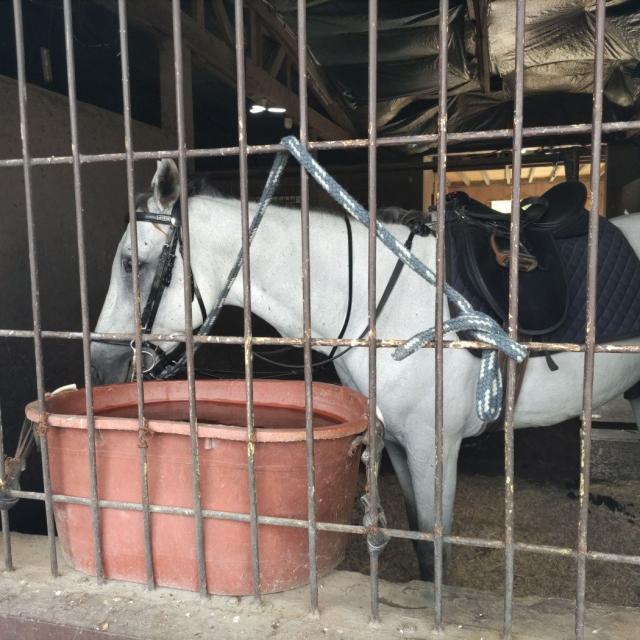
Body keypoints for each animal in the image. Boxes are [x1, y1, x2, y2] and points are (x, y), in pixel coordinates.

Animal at [90, 158, 640, 580]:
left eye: (130, 263)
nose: (99, 367)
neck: (389, 304)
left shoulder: (434, 446)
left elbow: (436, 549)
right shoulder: (396, 441)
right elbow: (420, 544)